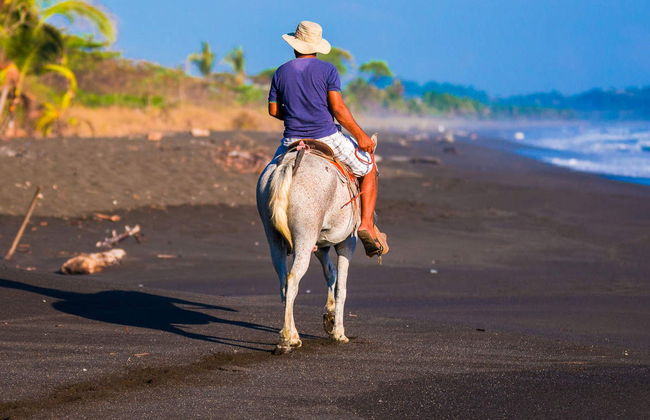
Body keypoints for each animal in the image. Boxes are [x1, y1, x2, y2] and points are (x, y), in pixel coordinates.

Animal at [256, 138, 373, 354]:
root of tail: (288, 164)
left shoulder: (321, 247)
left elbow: (330, 274)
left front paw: (330, 316)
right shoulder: (348, 243)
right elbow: (342, 287)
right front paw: (338, 333)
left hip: (273, 238)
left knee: (283, 280)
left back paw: (293, 336)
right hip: (305, 237)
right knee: (293, 278)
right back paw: (286, 339)